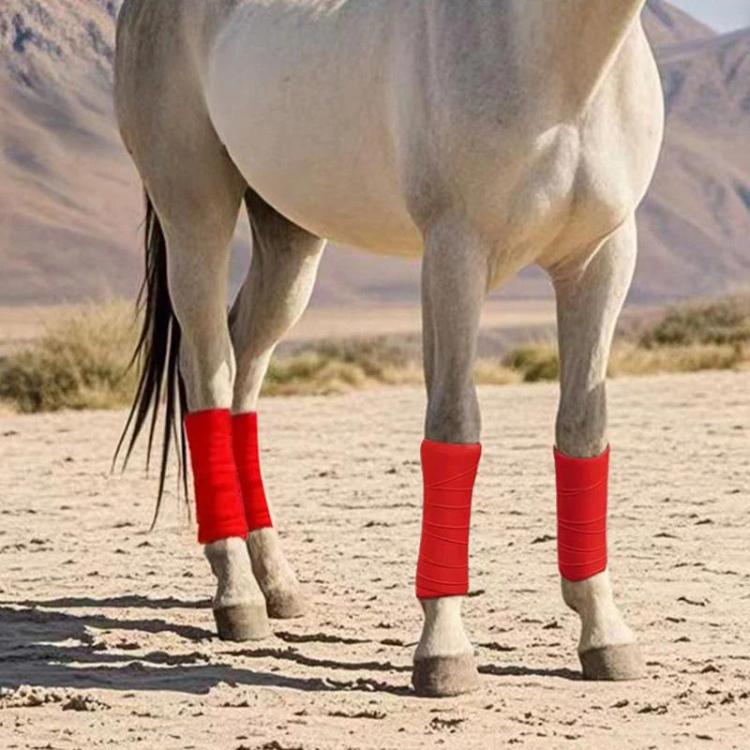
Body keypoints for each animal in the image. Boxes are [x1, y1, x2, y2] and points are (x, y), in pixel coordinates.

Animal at [114, 0, 664, 697]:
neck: (557, 58)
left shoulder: (602, 257)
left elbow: (584, 431)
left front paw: (604, 633)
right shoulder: (455, 254)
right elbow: (453, 426)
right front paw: (444, 650)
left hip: (289, 238)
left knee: (242, 372)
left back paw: (276, 584)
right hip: (195, 210)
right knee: (208, 371)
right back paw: (237, 597)